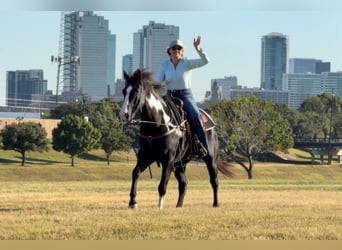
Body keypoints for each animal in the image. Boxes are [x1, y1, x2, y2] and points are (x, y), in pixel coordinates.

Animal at [119, 68, 232, 209]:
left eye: (136, 91)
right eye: (124, 91)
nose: (123, 115)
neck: (158, 124)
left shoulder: (168, 160)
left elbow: (162, 184)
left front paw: (159, 206)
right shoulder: (145, 156)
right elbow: (136, 172)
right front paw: (132, 202)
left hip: (210, 158)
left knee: (214, 180)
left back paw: (216, 204)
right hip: (180, 163)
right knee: (183, 183)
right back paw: (179, 206)